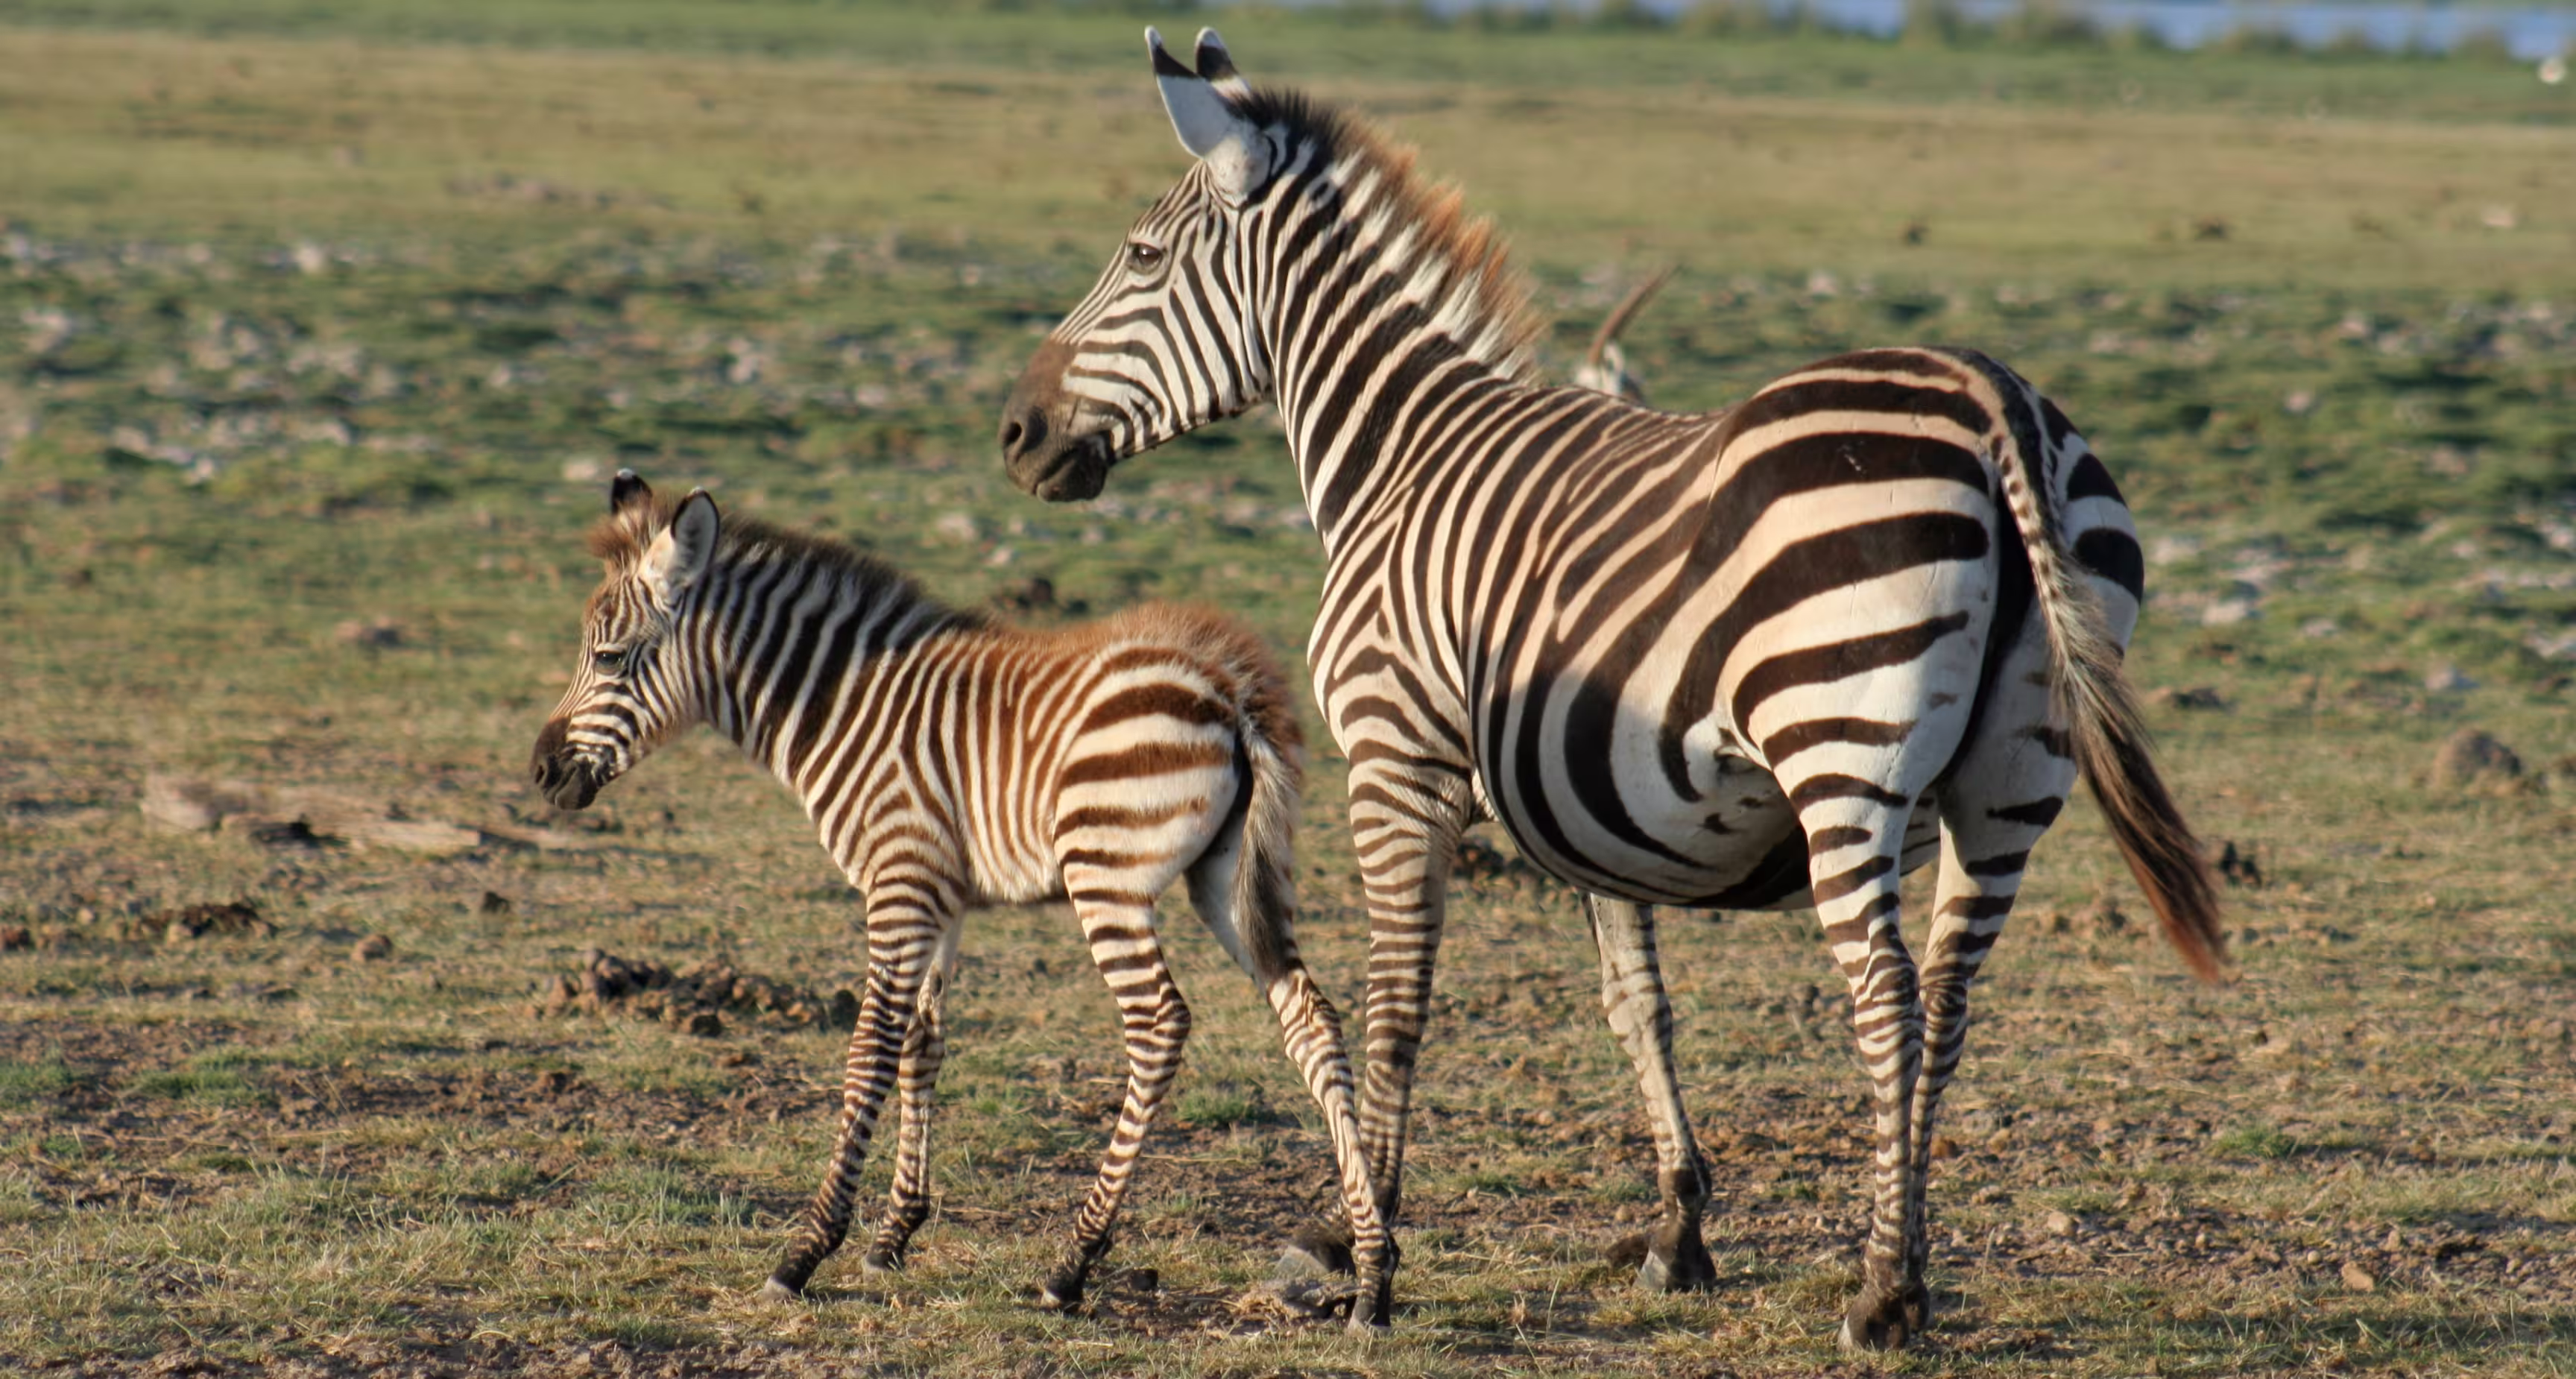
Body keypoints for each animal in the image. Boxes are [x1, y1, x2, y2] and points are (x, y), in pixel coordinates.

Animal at [528, 471, 1390, 1321]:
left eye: (608, 657)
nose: (540, 772)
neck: (842, 707)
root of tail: (1229, 680)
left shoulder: (899, 883)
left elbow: (871, 1049)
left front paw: (806, 1251)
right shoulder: (938, 896)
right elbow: (922, 1042)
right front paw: (892, 1237)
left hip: (1105, 875)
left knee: (1159, 1023)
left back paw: (1072, 1263)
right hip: (1226, 878)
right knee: (1310, 1016)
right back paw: (1374, 1268)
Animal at [995, 29, 2224, 1348]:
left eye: (1140, 257)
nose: (1016, 435)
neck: (1400, 453)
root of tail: (1992, 395)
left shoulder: (1395, 752)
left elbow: (1395, 1002)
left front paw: (1354, 1239)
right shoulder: (1590, 797)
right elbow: (1637, 1000)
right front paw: (1679, 1226)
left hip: (1841, 748)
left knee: (1888, 995)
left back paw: (1881, 1288)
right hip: (2014, 776)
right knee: (1948, 996)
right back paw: (1915, 1263)